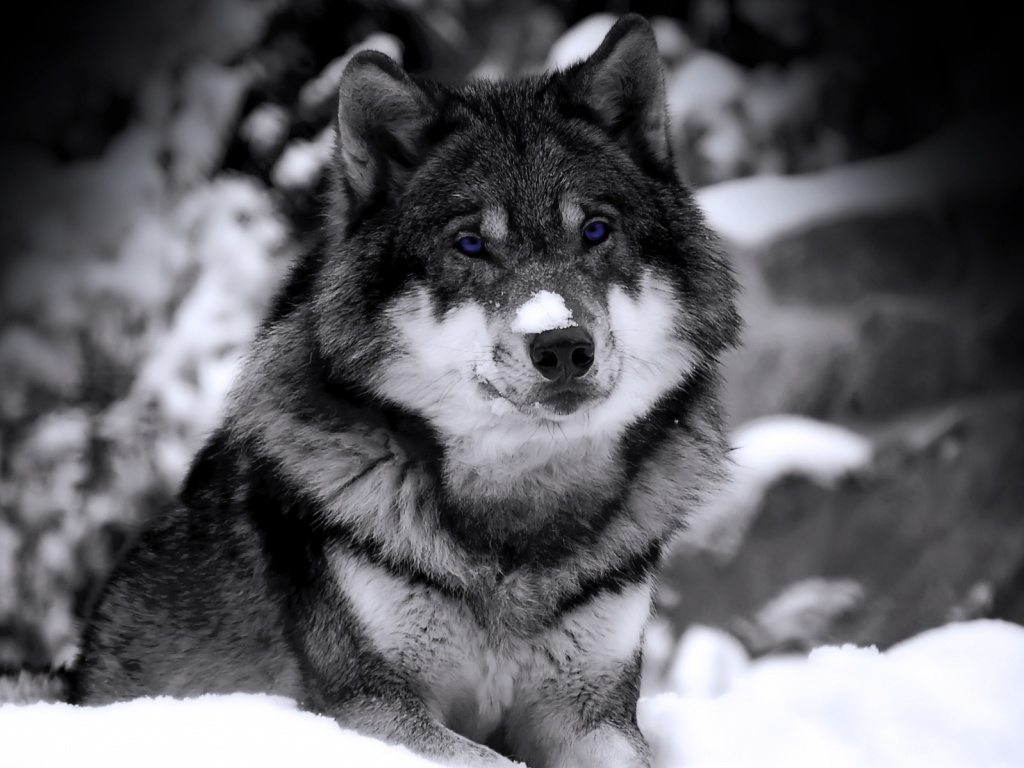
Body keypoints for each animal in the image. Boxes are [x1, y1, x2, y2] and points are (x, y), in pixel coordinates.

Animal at [74, 13, 745, 768]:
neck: (516, 523)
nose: (563, 346)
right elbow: (490, 761)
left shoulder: (592, 713)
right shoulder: (371, 706)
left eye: (596, 231)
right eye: (471, 244)